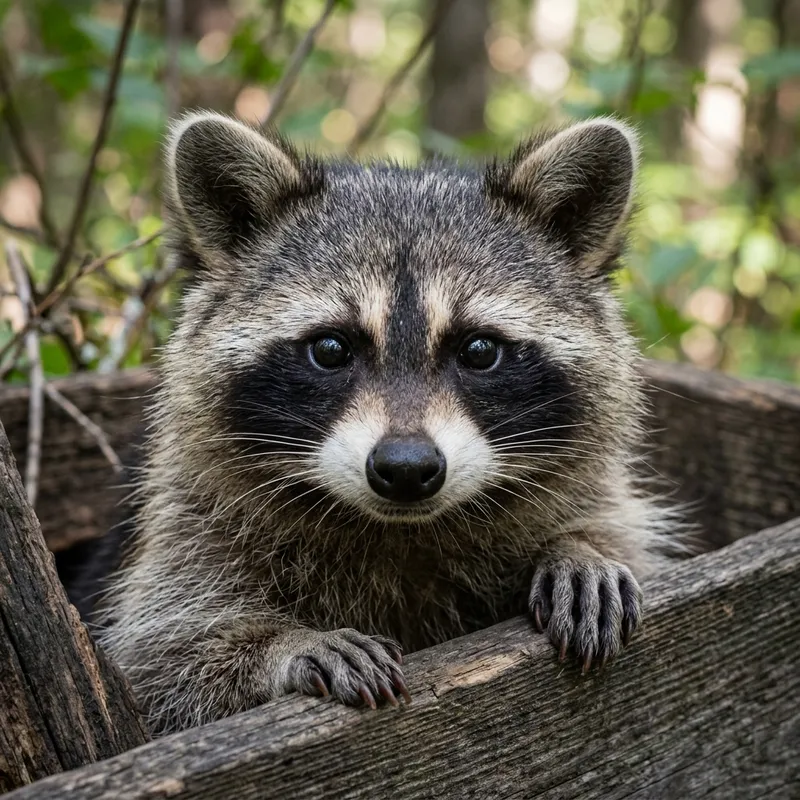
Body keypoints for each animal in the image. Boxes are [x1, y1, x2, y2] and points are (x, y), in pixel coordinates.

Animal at [94, 112, 676, 735]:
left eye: (479, 350)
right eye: (330, 348)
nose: (406, 468)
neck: (402, 532)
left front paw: (578, 548)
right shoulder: (192, 530)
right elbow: (163, 666)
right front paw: (282, 647)